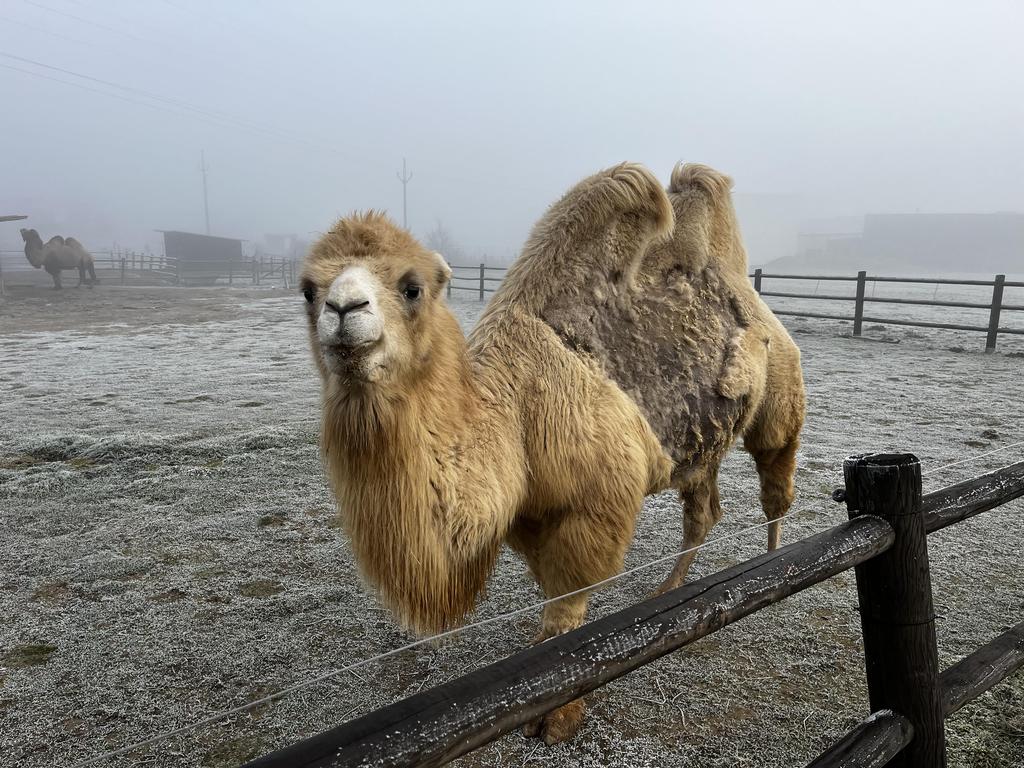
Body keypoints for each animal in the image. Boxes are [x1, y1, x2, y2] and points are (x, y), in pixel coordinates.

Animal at [299, 162, 802, 745]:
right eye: (307, 290)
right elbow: (550, 601)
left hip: (781, 391)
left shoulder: (596, 505)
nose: (344, 309)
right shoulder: (528, 515)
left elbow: (567, 608)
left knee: (775, 476)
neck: (515, 411)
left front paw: (558, 717)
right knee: (704, 508)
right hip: (700, 445)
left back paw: (773, 563)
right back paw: (666, 592)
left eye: (412, 288)